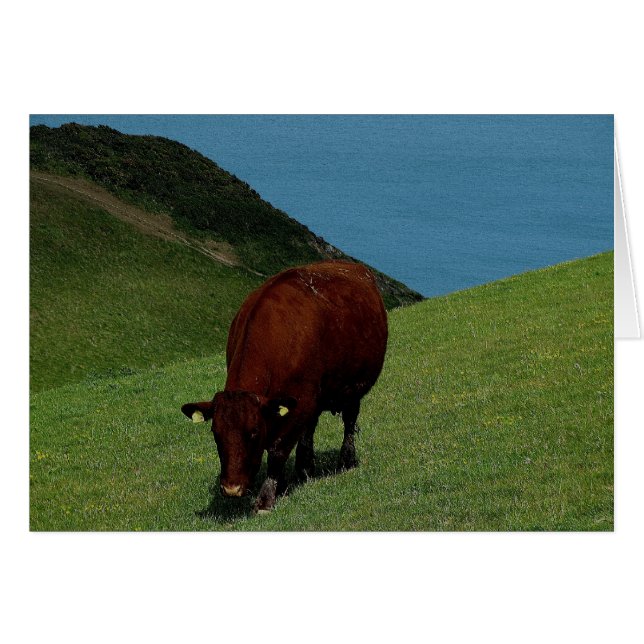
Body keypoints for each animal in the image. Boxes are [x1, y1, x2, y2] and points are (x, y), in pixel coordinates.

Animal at [181, 260, 388, 513]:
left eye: (254, 432)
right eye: (215, 432)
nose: (232, 489)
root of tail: (354, 266)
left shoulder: (300, 402)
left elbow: (277, 451)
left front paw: (266, 498)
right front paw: (284, 483)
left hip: (353, 387)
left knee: (349, 421)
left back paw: (345, 460)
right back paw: (305, 468)